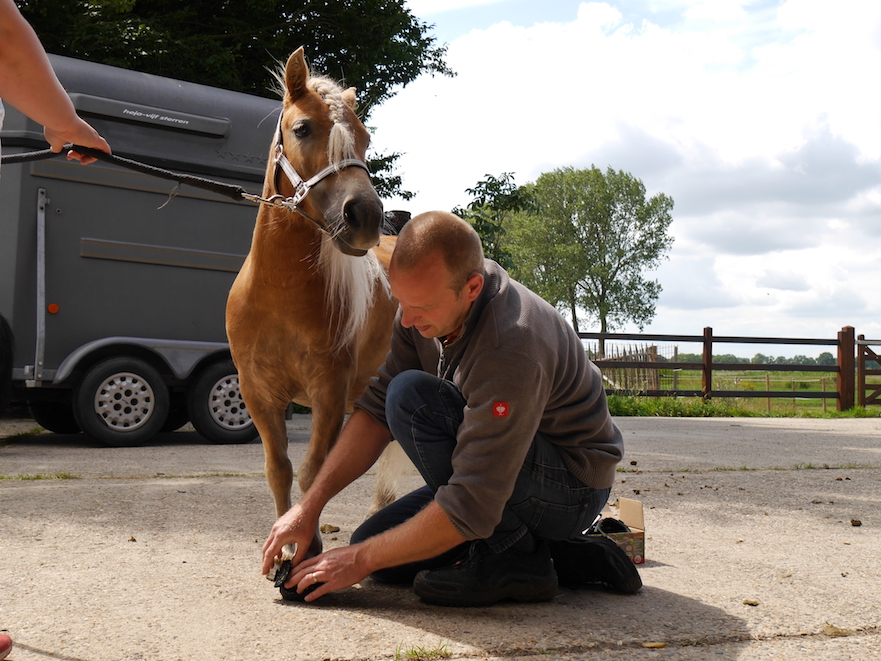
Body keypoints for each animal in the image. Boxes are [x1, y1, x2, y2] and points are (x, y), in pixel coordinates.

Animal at [229, 47, 404, 552]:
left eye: (365, 137)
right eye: (303, 128)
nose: (365, 216)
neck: (279, 296)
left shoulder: (329, 393)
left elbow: (313, 475)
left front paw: (303, 547)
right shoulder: (259, 394)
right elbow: (280, 471)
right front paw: (286, 548)